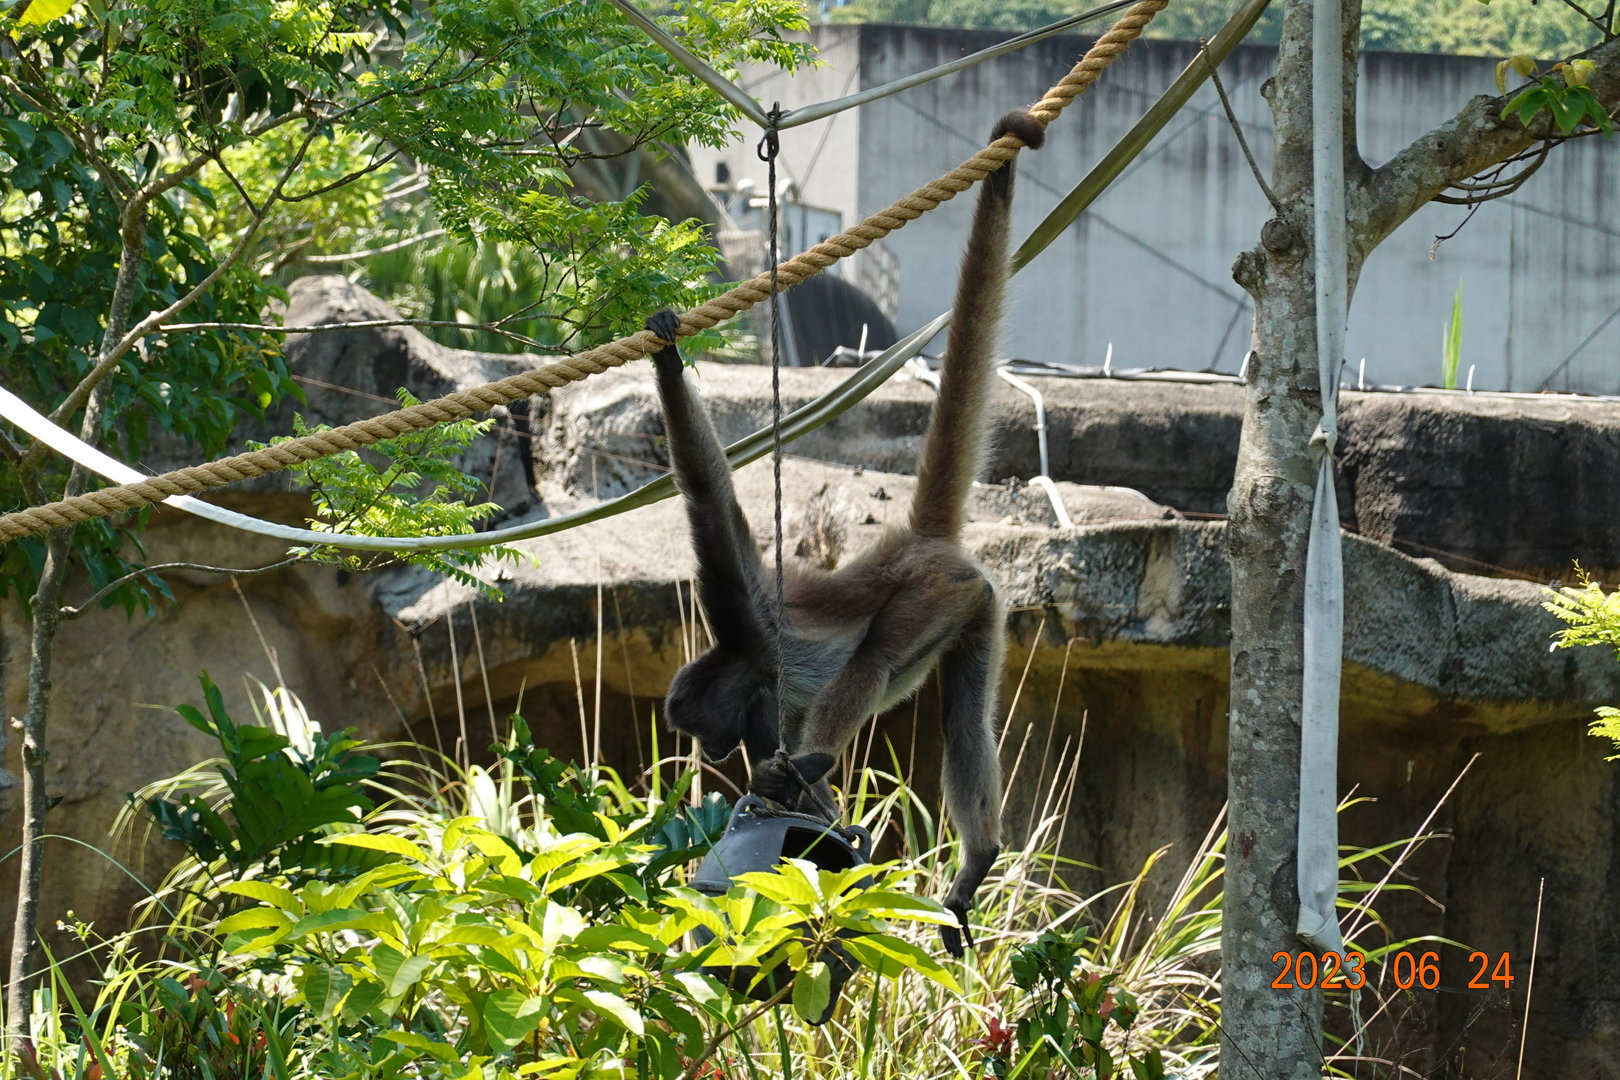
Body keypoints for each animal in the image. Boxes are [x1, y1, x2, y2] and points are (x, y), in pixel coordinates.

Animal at [644, 109, 1044, 957]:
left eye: (701, 727)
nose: (711, 753)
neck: (747, 664)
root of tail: (914, 541)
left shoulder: (743, 611)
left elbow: (709, 497)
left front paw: (666, 357)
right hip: (977, 604)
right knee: (965, 720)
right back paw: (979, 859)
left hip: (932, 591)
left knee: (876, 657)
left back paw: (826, 755)